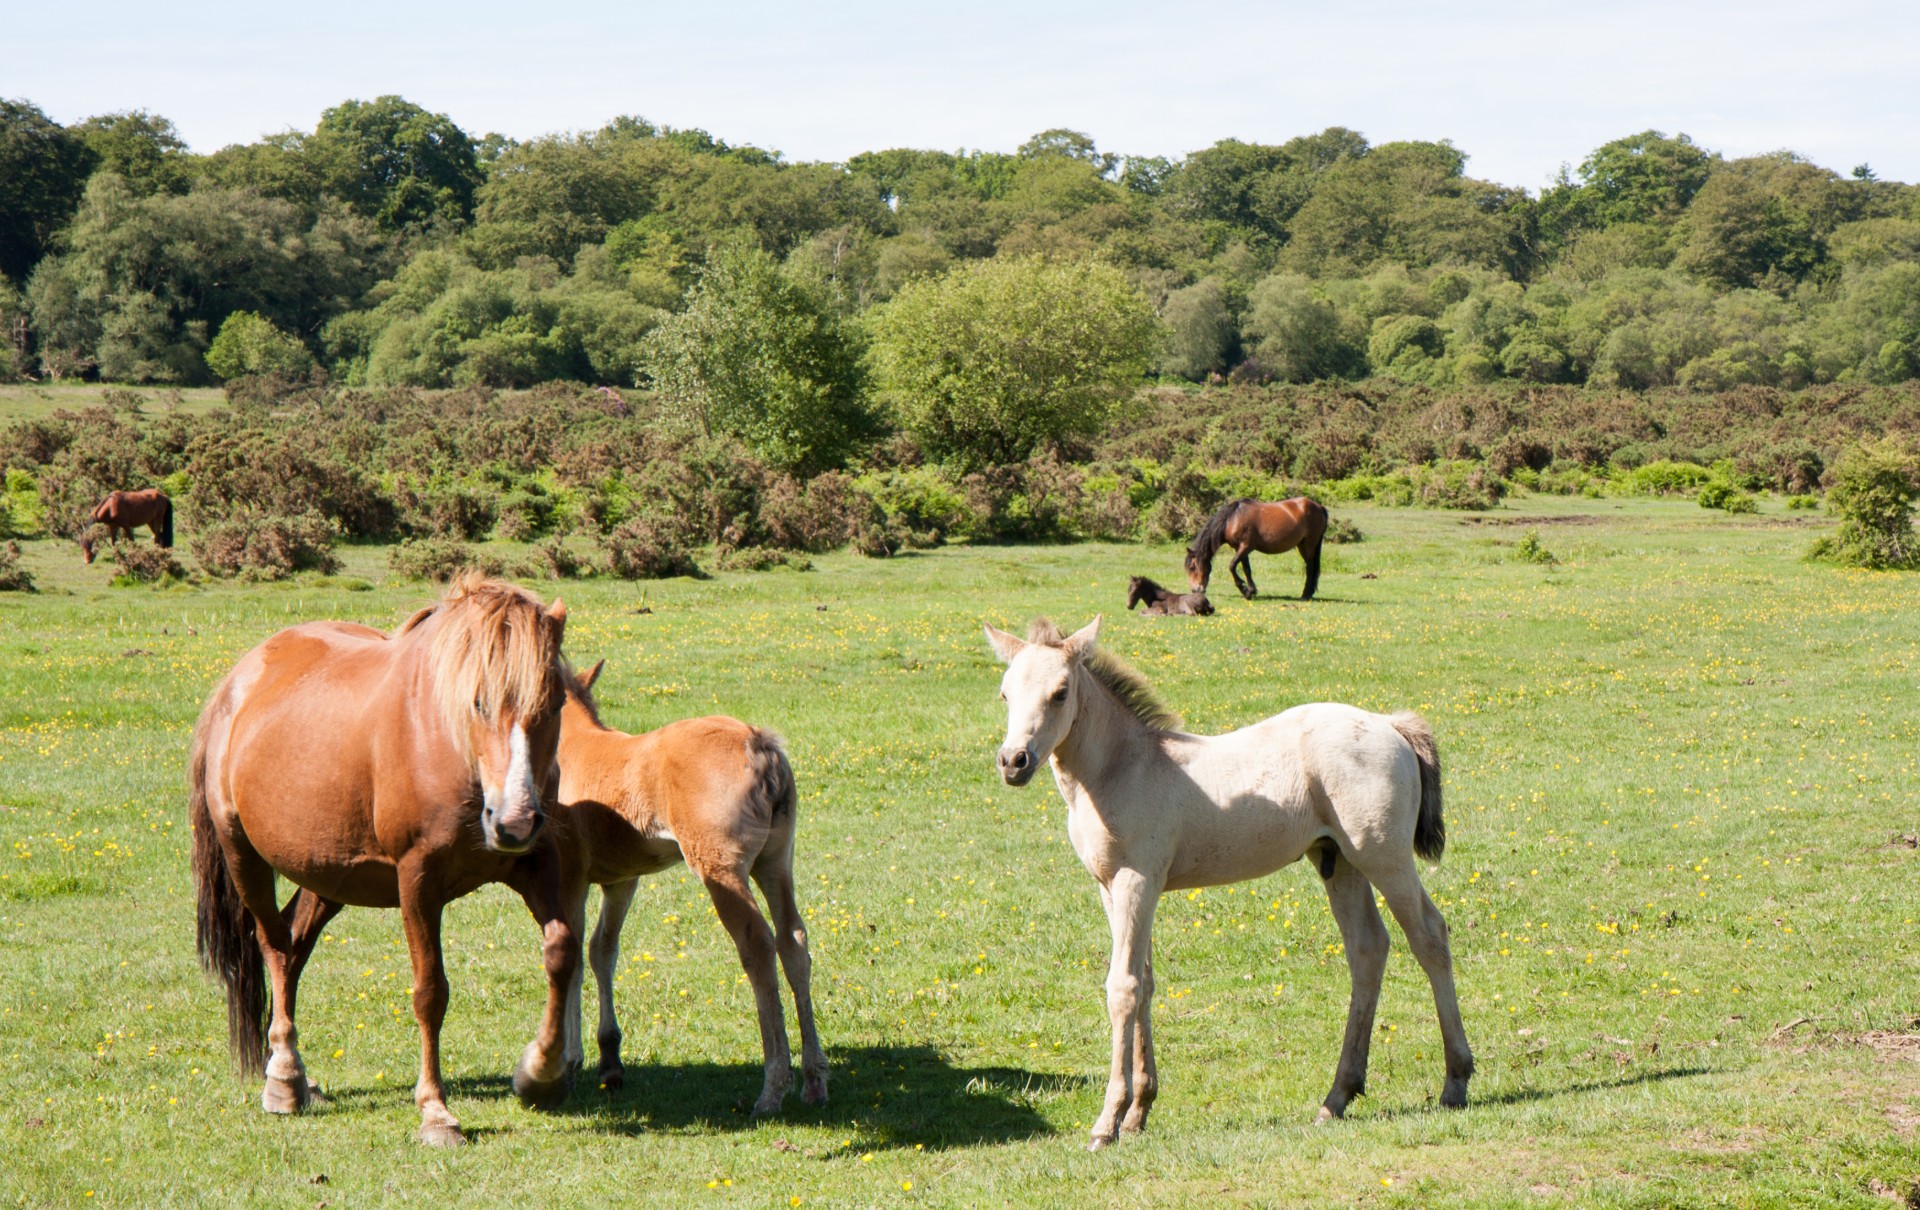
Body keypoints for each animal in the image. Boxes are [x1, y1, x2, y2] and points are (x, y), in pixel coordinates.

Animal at [193, 576, 583, 1144]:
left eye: (554, 704)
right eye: (479, 702)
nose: (512, 822)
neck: (446, 743)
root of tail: (236, 683)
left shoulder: (535, 860)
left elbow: (561, 951)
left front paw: (540, 1072)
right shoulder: (417, 879)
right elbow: (430, 992)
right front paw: (436, 1111)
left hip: (328, 875)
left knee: (295, 943)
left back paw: (297, 1077)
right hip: (244, 856)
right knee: (274, 945)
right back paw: (284, 1078)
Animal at [552, 664, 829, 1121]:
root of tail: (758, 741)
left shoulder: (568, 875)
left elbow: (572, 955)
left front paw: (569, 1065)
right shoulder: (621, 879)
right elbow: (600, 950)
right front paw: (608, 1061)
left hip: (720, 867)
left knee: (758, 946)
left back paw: (773, 1088)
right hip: (775, 862)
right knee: (794, 941)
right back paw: (814, 1080)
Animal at [990, 622, 1466, 1152]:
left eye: (1060, 692)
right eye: (1005, 693)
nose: (1013, 761)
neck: (1122, 768)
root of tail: (1390, 723)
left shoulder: (1138, 881)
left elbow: (1123, 988)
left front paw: (1107, 1123)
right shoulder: (1111, 888)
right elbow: (1145, 982)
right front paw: (1138, 1113)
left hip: (1383, 856)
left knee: (1429, 935)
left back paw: (1455, 1082)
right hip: (1338, 861)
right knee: (1367, 948)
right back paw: (1337, 1096)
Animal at [1175, 499, 1328, 603]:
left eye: (1192, 567)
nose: (1195, 590)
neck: (1232, 519)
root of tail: (1319, 507)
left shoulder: (1246, 546)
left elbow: (1232, 566)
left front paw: (1244, 589)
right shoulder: (1240, 548)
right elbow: (1246, 569)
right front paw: (1251, 591)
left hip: (1309, 544)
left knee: (1310, 567)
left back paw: (1305, 595)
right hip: (1302, 545)